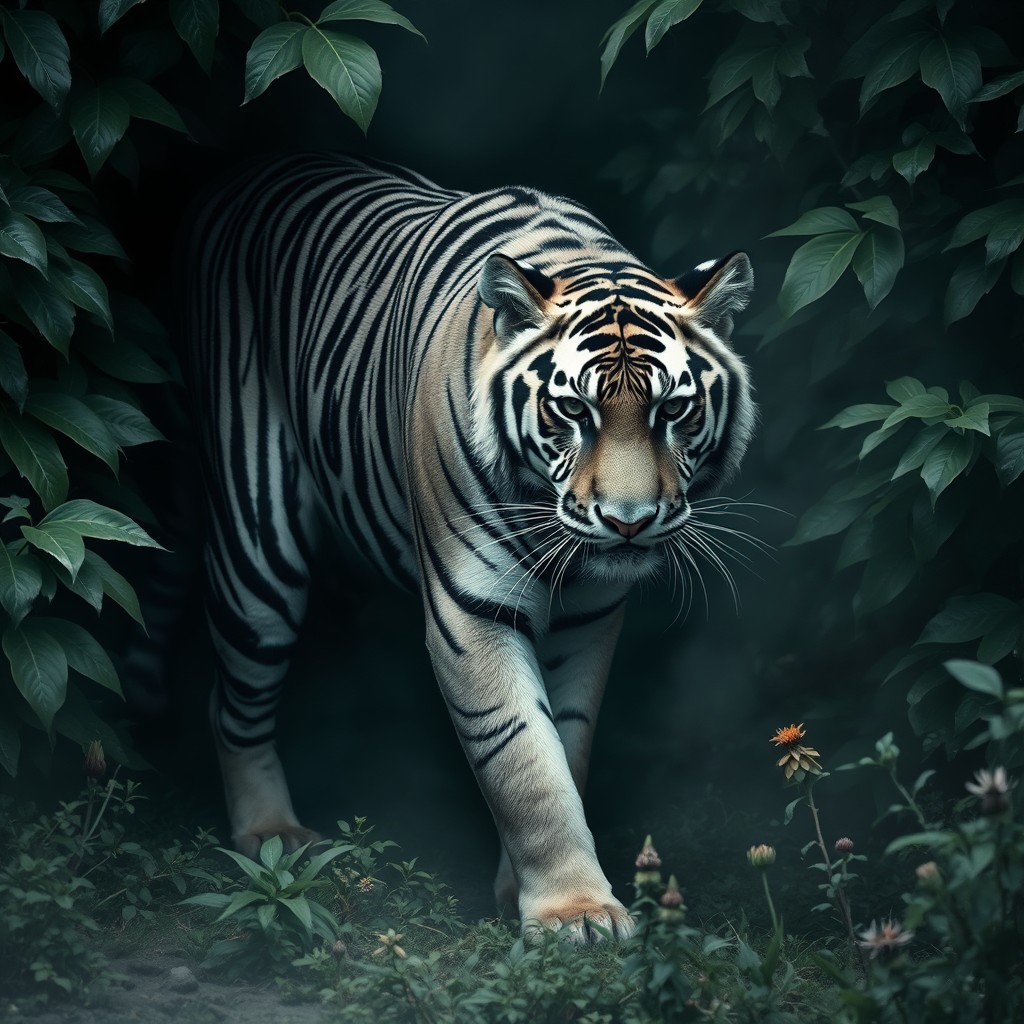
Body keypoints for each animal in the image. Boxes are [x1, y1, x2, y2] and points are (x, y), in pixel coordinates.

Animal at [184, 153, 755, 943]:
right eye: (572, 409)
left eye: (674, 409)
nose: (629, 522)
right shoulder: (470, 612)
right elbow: (524, 761)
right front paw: (573, 913)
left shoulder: (588, 620)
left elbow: (566, 744)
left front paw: (527, 891)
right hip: (257, 548)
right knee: (230, 698)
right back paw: (270, 835)